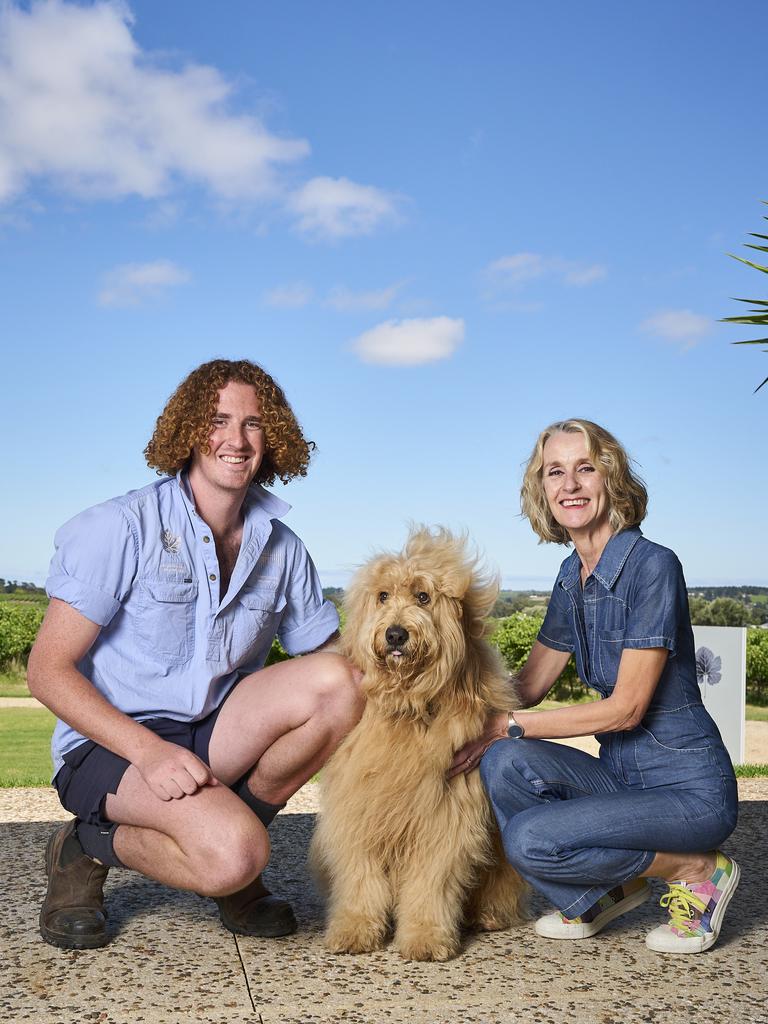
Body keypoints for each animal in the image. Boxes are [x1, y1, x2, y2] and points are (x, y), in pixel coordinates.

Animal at [309, 528, 528, 958]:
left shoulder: (445, 821)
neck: (408, 708)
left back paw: (490, 914)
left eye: (423, 597)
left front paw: (426, 936)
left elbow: (431, 884)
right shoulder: (358, 813)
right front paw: (355, 928)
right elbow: (360, 879)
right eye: (382, 596)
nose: (395, 634)